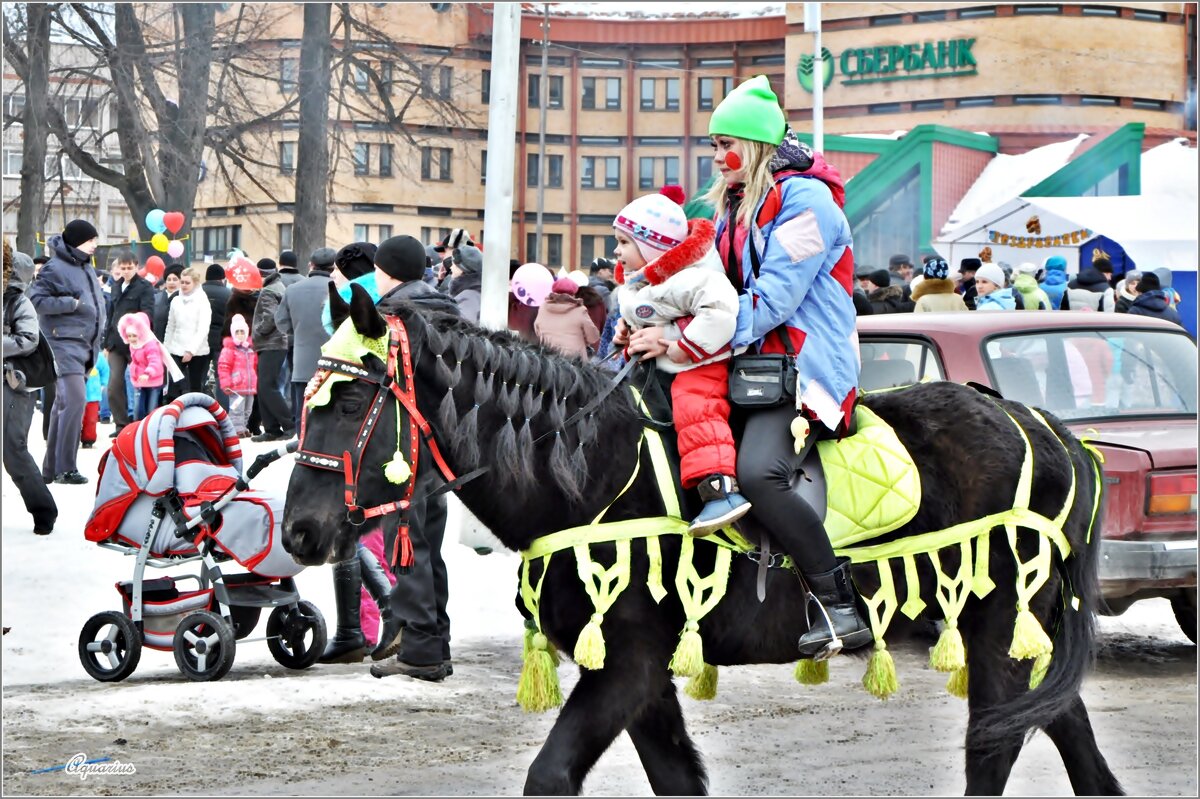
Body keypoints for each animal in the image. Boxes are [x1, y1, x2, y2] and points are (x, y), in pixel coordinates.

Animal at [283, 283, 1123, 791]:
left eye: (351, 396)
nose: (298, 530)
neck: (591, 470)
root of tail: (1047, 428)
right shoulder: (644, 676)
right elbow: (675, 778)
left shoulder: (626, 666)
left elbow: (550, 774)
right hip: (1024, 630)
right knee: (1071, 740)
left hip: (996, 626)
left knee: (994, 743)